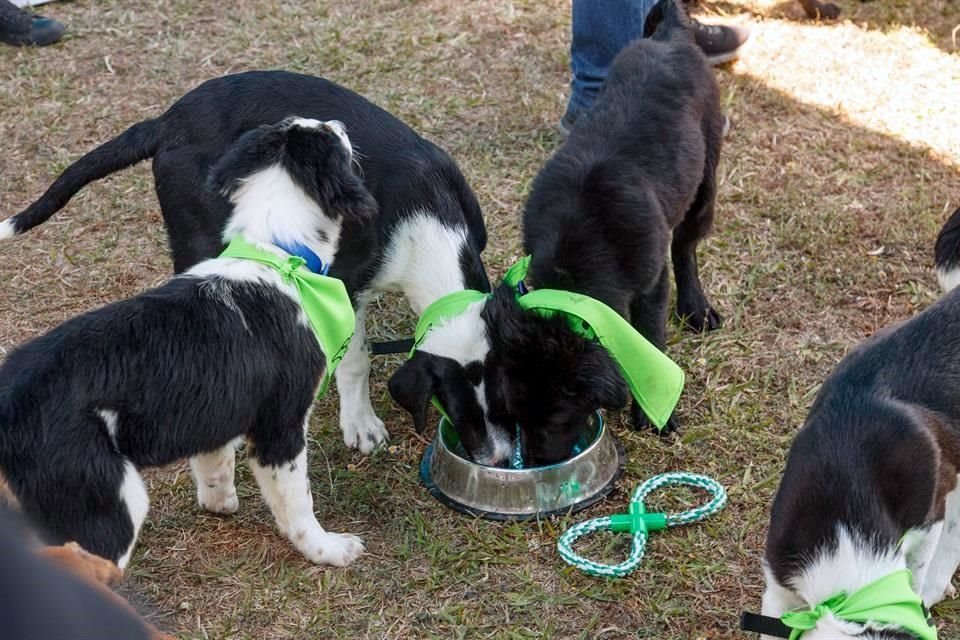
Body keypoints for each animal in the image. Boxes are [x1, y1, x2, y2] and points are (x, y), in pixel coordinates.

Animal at [0, 117, 378, 568]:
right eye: (329, 137)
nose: (339, 122)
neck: (274, 254)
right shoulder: (281, 425)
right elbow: (297, 503)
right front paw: (329, 550)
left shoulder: (215, 405)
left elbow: (213, 462)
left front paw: (220, 503)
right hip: (106, 504)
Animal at [1, 72, 516, 468]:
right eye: (457, 412)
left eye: (510, 402)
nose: (496, 459)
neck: (425, 225)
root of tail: (166, 122)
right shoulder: (345, 282)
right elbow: (356, 358)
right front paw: (361, 424)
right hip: (199, 236)